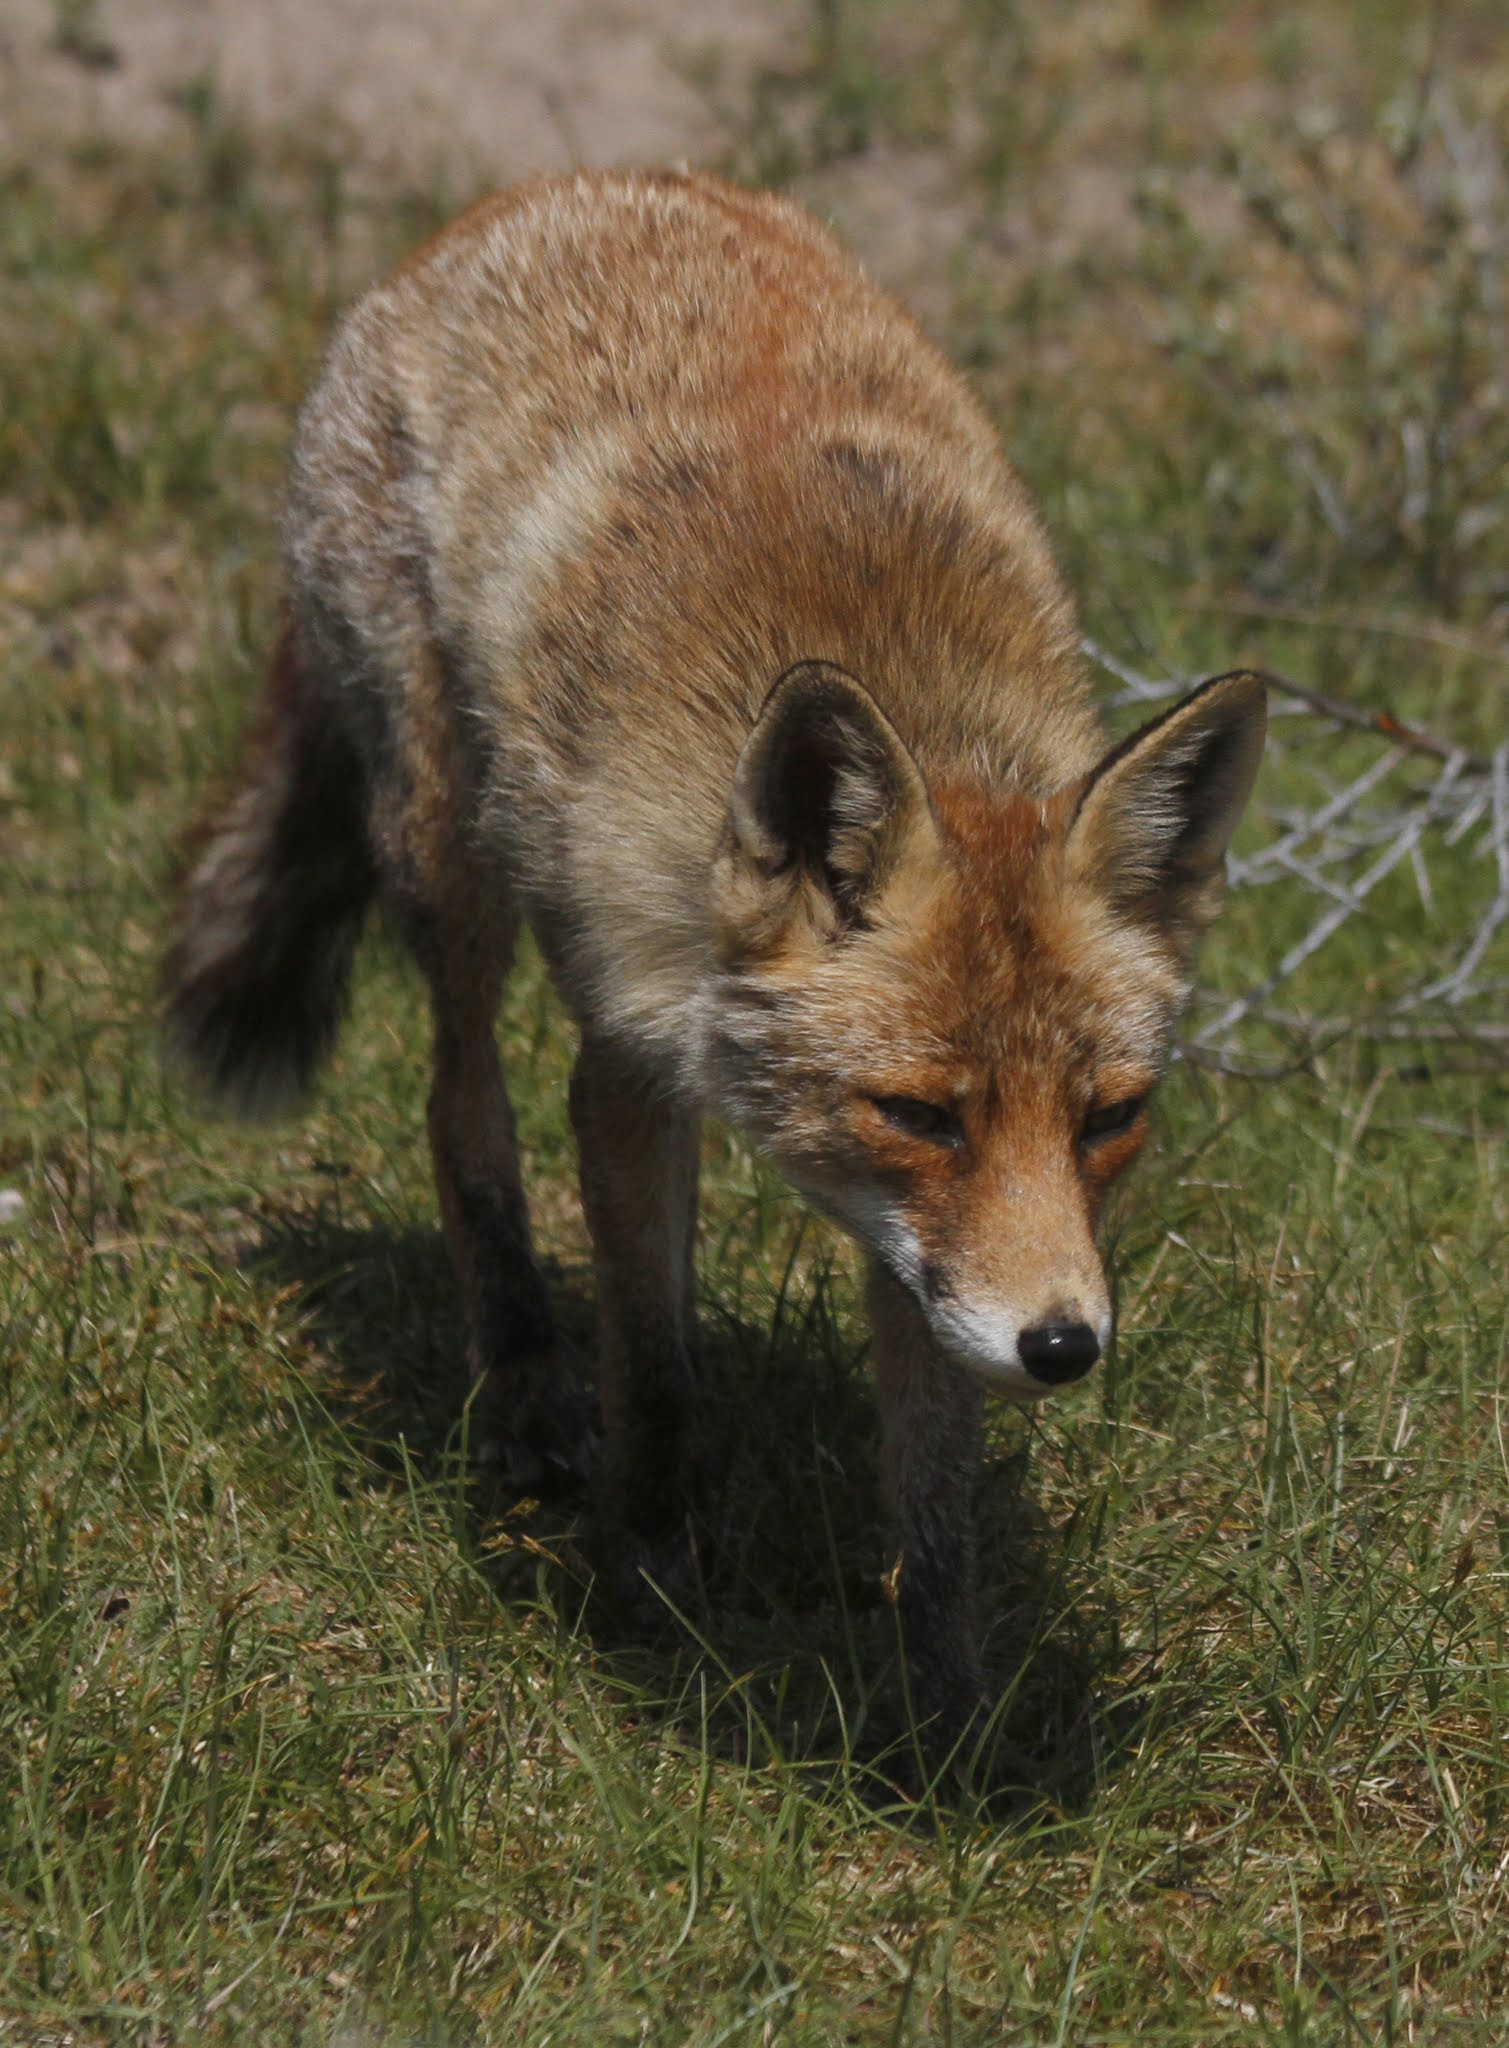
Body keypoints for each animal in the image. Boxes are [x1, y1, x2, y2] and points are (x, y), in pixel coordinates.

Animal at [163, 167, 1265, 1758]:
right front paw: (648, 1580)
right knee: (458, 1106)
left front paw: (950, 1732)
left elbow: (934, 1498)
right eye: (919, 1113)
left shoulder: (939, 1257)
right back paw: (525, 1384)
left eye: (1110, 1119)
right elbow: (659, 1360)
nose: (1063, 1347)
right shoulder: (627, 1070)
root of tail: (541, 191)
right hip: (446, 849)